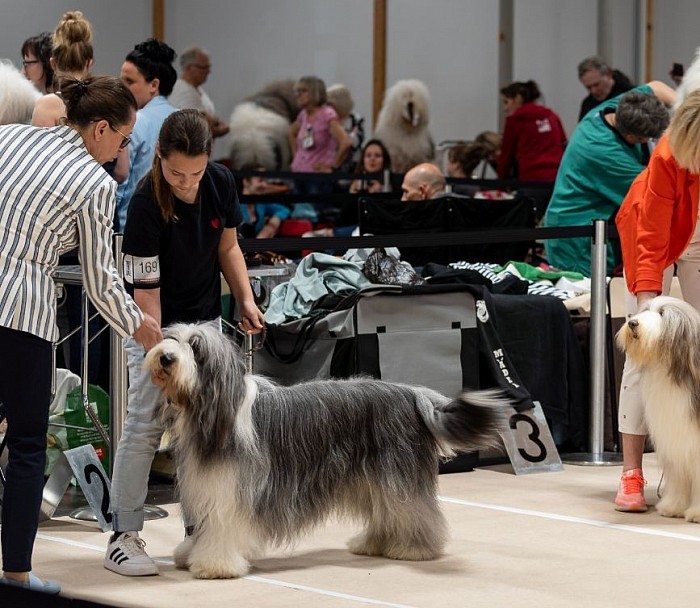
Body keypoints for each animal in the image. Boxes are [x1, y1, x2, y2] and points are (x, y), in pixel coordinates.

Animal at [144, 322, 506, 579]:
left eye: (195, 347)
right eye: (172, 338)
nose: (165, 357)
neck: (216, 410)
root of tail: (411, 394)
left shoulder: (230, 491)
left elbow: (222, 528)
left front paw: (214, 565)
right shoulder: (207, 487)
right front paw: (190, 553)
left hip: (397, 475)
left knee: (414, 510)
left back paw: (414, 549)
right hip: (375, 478)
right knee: (389, 511)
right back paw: (372, 544)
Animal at [616, 296, 700, 521]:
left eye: (662, 313)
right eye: (645, 309)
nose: (632, 323)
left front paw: (696, 513)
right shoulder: (677, 439)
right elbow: (679, 477)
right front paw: (673, 507)